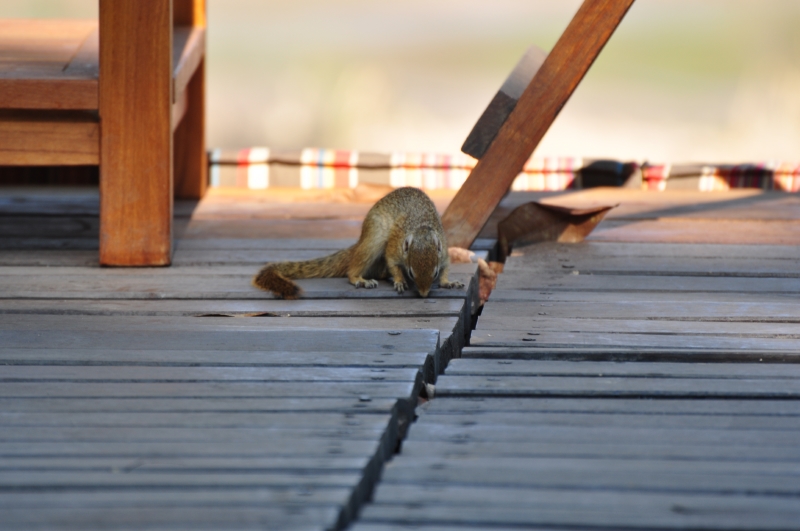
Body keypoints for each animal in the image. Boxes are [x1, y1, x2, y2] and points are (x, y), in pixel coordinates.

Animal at [252, 187, 464, 299]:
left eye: (433, 273)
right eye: (412, 273)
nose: (423, 294)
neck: (421, 230)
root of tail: (360, 240)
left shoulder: (444, 252)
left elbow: (446, 269)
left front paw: (448, 282)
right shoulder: (394, 248)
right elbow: (394, 264)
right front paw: (400, 281)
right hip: (373, 240)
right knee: (354, 269)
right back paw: (360, 279)